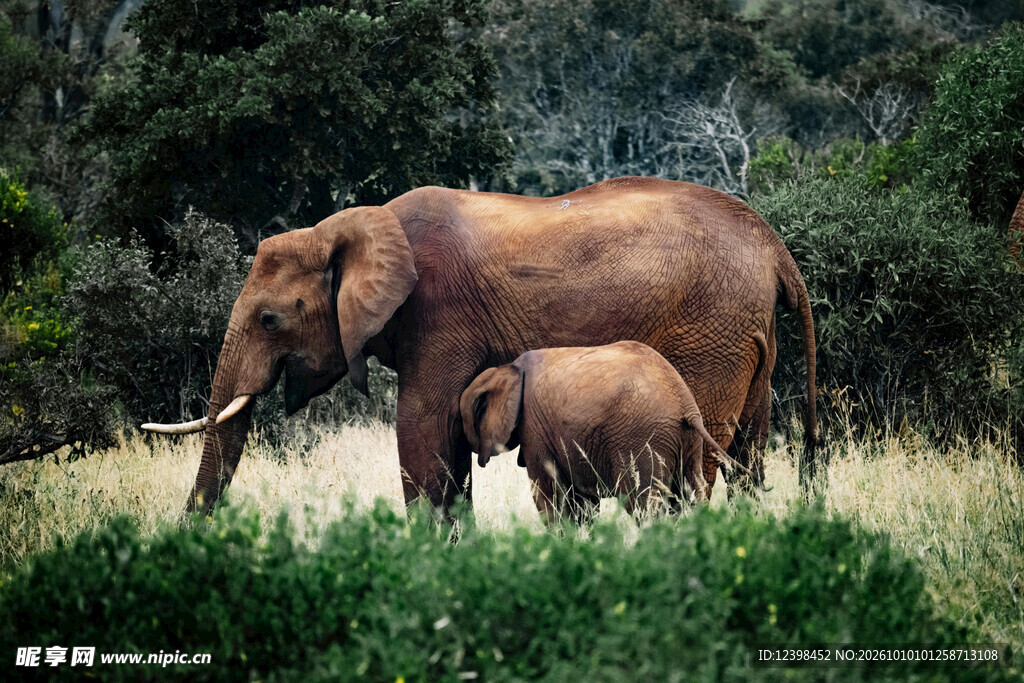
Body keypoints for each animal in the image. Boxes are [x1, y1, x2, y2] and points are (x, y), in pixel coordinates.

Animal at [460, 341, 754, 524]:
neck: (509, 369)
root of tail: (687, 405)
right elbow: (581, 501)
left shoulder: (535, 429)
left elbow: (550, 496)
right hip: (687, 442)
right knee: (691, 495)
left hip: (642, 439)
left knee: (645, 506)